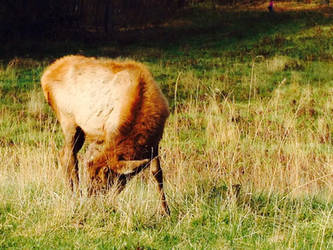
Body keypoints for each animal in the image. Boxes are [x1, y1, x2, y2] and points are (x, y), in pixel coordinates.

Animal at [41, 55, 170, 215]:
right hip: (68, 120)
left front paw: (166, 211)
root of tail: (45, 77)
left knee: (63, 154)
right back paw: (76, 195)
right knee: (70, 157)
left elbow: (157, 173)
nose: (91, 198)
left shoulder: (155, 141)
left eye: (105, 181)